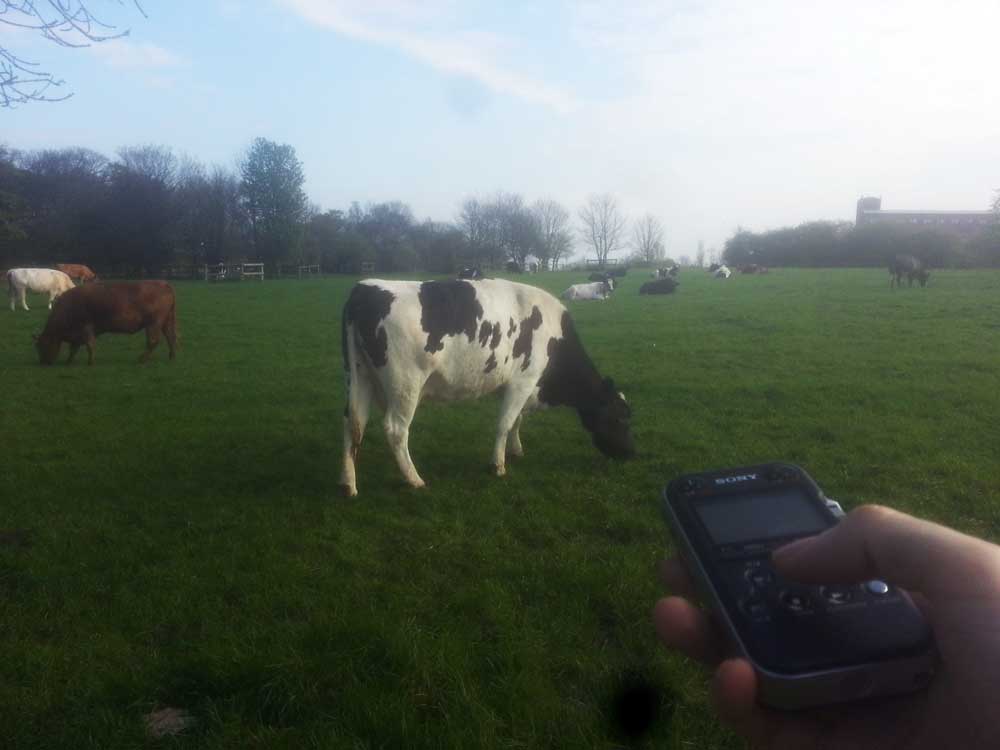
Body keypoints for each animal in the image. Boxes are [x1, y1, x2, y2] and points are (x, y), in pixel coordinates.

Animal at [32, 280, 178, 366]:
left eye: (41, 345)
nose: (43, 362)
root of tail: (164, 284)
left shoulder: (86, 328)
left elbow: (89, 345)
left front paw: (90, 362)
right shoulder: (77, 335)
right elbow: (74, 348)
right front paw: (69, 361)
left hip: (154, 323)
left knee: (153, 341)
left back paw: (142, 359)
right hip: (166, 321)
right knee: (170, 337)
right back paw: (171, 356)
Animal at [338, 280, 632, 496]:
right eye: (620, 418)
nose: (631, 454)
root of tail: (364, 288)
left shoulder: (521, 387)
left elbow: (517, 420)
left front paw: (516, 450)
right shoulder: (523, 380)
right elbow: (505, 423)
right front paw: (498, 466)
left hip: (359, 376)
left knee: (353, 423)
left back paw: (348, 484)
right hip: (405, 385)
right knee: (396, 430)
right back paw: (415, 479)